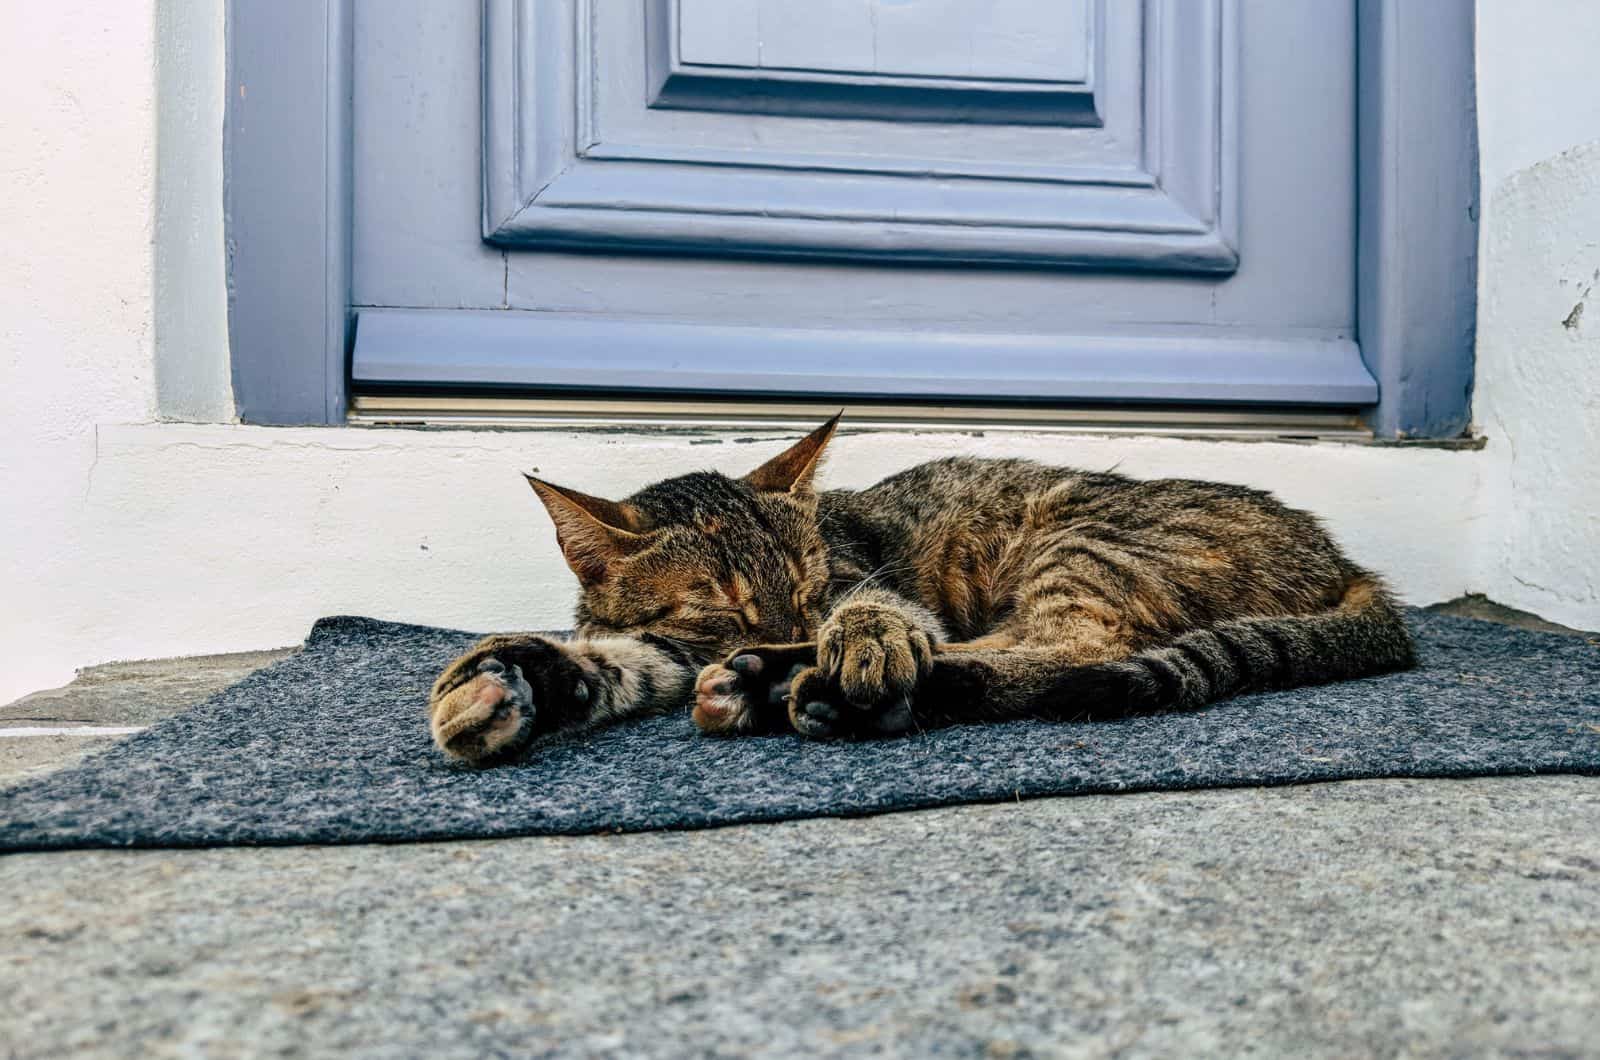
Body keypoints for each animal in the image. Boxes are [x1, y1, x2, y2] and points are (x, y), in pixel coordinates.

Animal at [425, 416, 1414, 765]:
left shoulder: (874, 584)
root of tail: (1339, 557)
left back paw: (824, 685)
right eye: (721, 601)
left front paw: (858, 641)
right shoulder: (666, 643)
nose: (786, 625)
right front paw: (509, 681)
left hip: (1084, 541)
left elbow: (888, 613)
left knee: (1070, 651)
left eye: (813, 583)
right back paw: (766, 680)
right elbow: (612, 659)